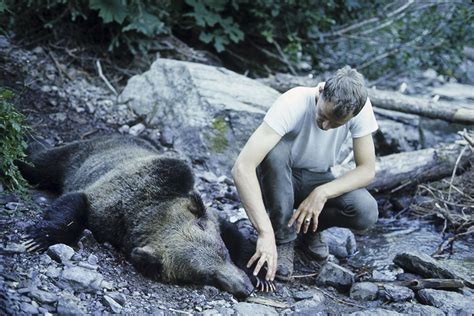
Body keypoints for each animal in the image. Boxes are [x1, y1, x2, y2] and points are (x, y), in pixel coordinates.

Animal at [19, 136, 274, 298]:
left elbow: (235, 235)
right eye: (207, 276)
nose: (245, 288)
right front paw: (39, 237)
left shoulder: (202, 208)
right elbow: (75, 205)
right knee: (39, 164)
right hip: (74, 156)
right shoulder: (106, 207)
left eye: (224, 254)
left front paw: (261, 275)